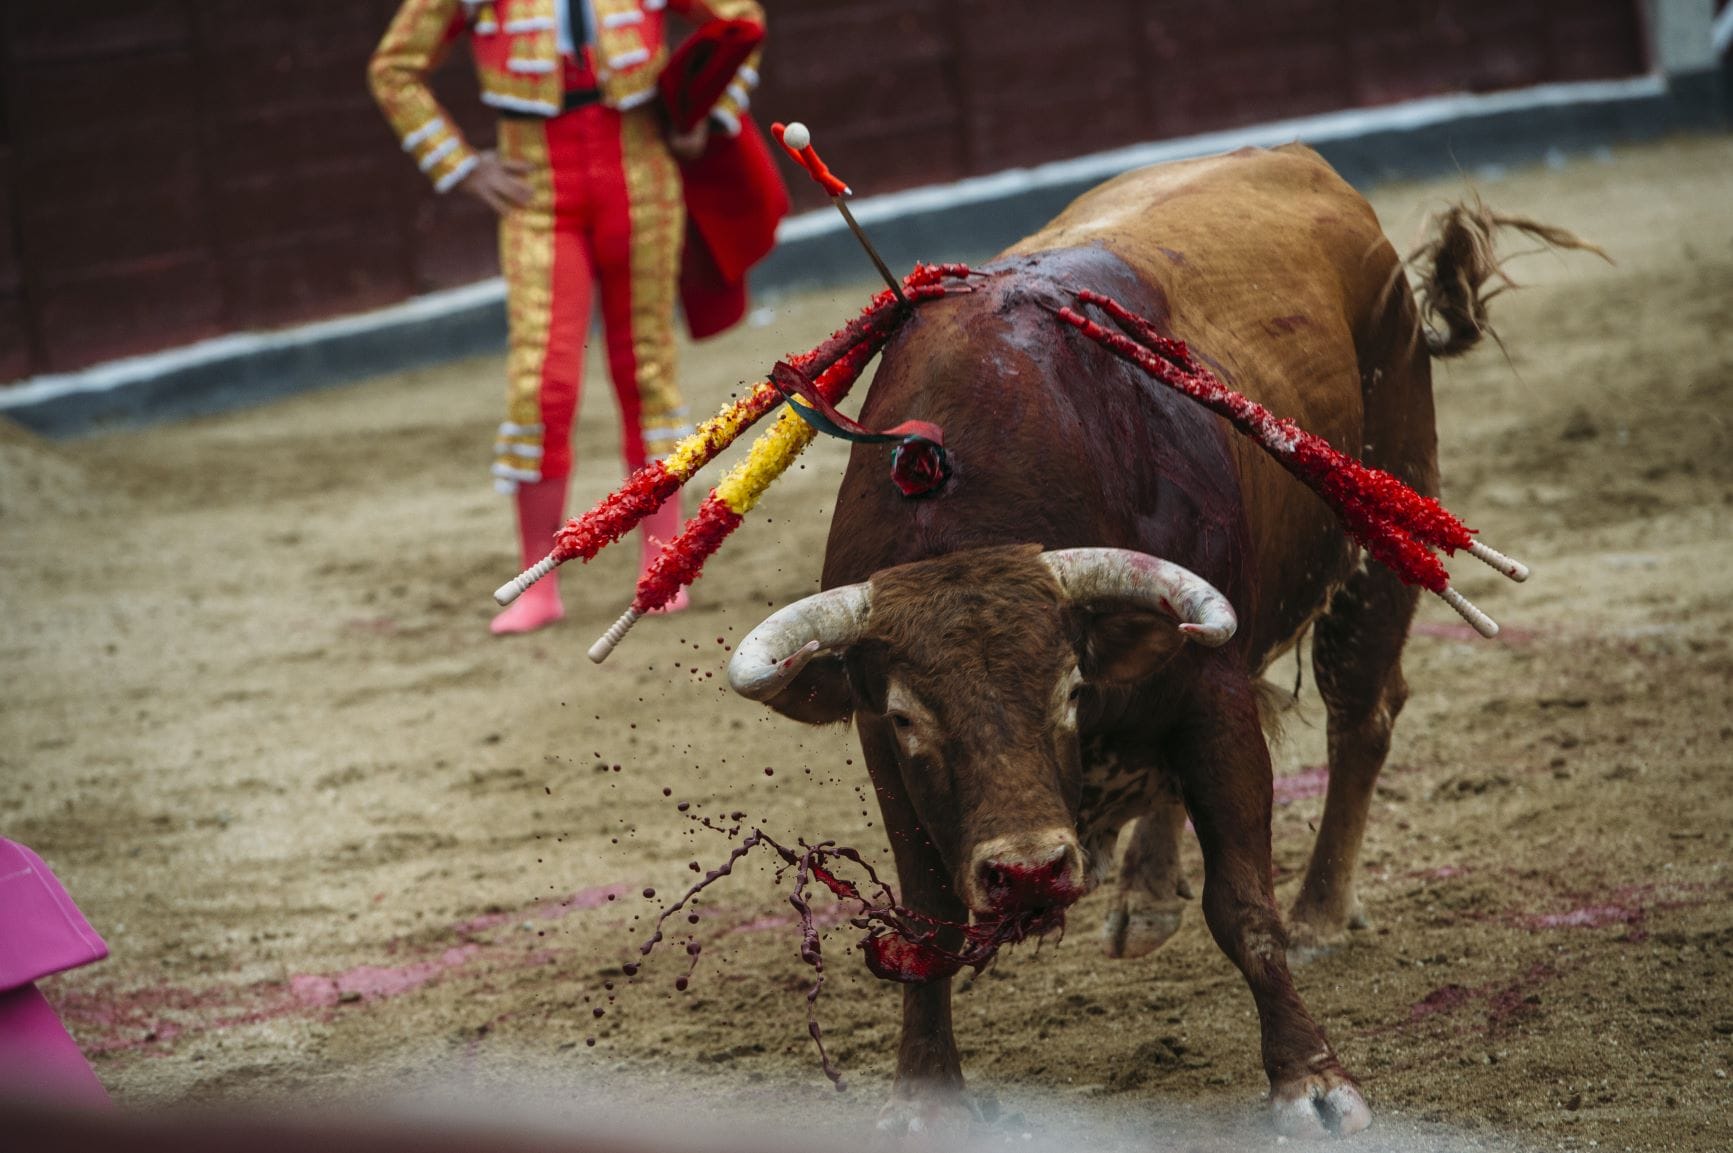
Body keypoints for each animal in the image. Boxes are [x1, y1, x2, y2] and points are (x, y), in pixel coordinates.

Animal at [724, 143, 1511, 1130]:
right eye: (910, 718)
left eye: (1070, 688)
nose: (1028, 872)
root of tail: (1299, 160)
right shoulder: (880, 743)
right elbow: (928, 920)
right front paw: (923, 1097)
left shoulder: (1212, 690)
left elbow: (1240, 903)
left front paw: (1313, 1079)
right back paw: (1145, 895)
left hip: (1383, 528)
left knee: (1360, 716)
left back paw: (1321, 912)